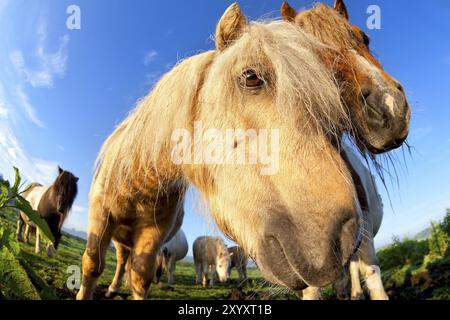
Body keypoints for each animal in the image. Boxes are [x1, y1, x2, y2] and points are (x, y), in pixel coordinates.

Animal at [77, 3, 408, 300]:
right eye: (251, 77)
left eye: (364, 39)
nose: (337, 234)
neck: (140, 181)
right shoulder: (99, 215)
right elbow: (92, 265)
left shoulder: (153, 234)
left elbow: (141, 278)